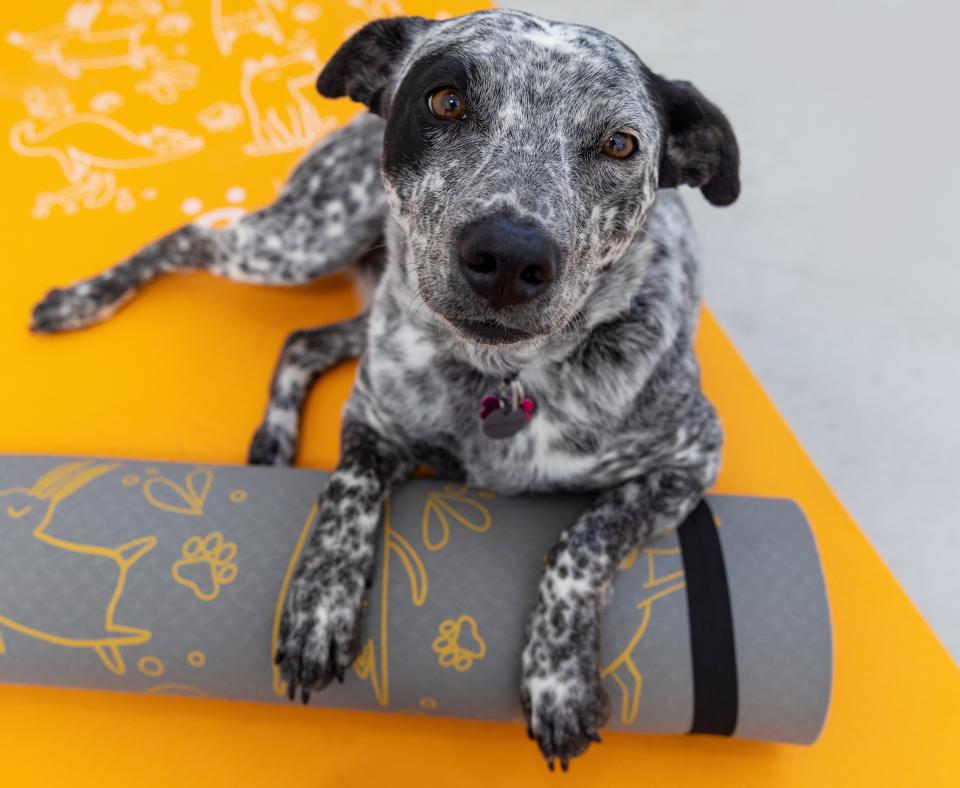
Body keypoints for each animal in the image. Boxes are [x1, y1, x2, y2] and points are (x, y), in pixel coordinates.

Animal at [30, 7, 740, 768]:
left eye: (619, 144)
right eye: (446, 100)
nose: (509, 257)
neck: (501, 378)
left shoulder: (691, 459)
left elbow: (586, 539)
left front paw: (560, 677)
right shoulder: (373, 418)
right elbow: (348, 489)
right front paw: (320, 605)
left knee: (301, 339)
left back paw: (272, 434)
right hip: (303, 243)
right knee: (191, 238)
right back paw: (83, 301)